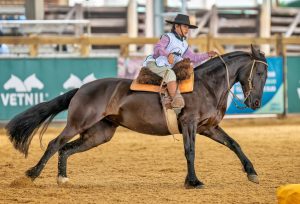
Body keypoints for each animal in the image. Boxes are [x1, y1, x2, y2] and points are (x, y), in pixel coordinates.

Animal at [6, 45, 270, 189]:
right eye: (258, 72)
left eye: (267, 74)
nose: (255, 103)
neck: (207, 85)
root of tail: (82, 88)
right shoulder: (189, 124)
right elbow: (190, 152)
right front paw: (193, 181)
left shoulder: (208, 127)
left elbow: (234, 144)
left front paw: (252, 173)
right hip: (78, 123)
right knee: (55, 144)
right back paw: (31, 174)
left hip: (98, 134)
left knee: (65, 149)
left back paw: (62, 178)